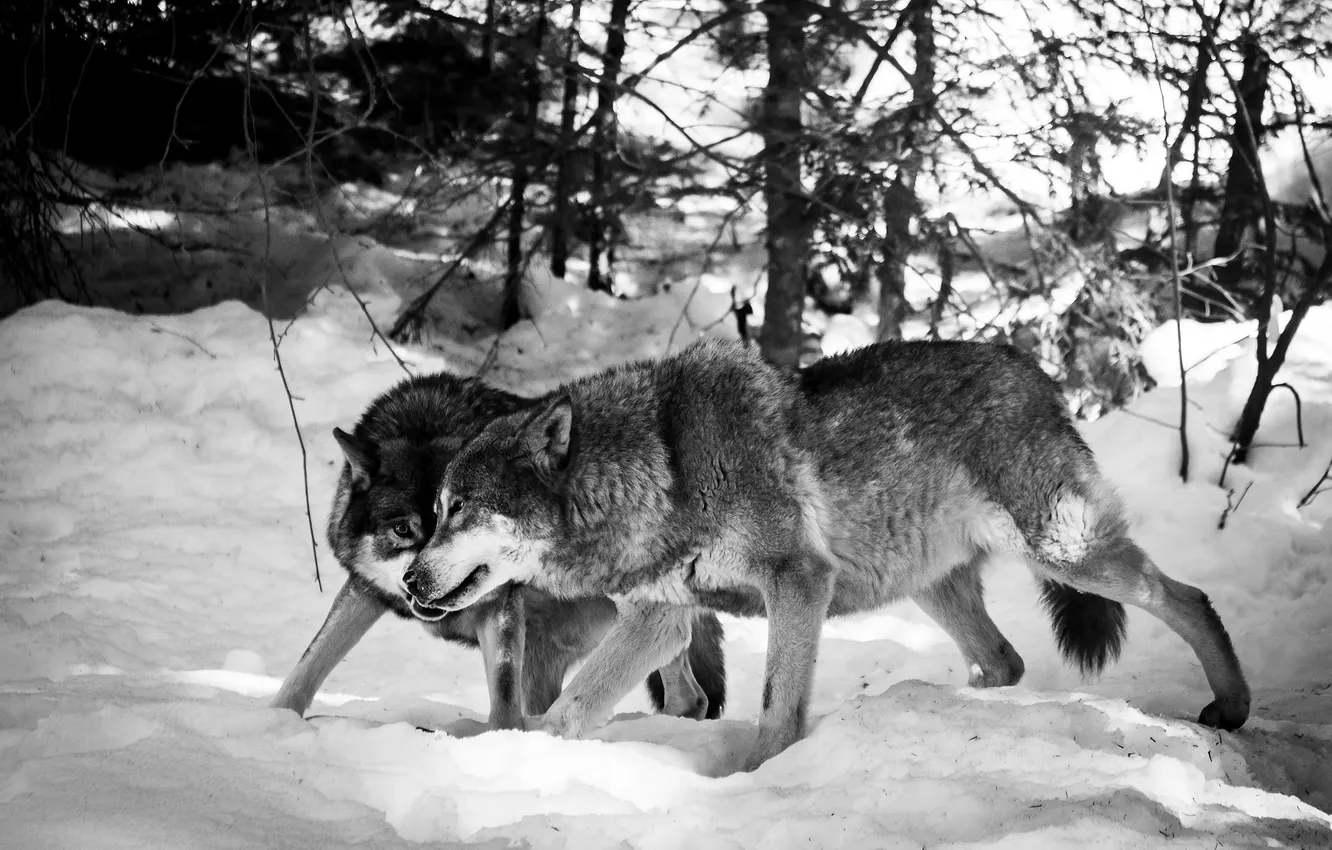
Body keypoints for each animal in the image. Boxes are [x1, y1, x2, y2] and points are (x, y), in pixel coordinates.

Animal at [270, 371, 726, 728]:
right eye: (403, 529)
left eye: (460, 517)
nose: (419, 581)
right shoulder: (365, 589)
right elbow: (309, 664)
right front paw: (275, 721)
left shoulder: (501, 606)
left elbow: (503, 702)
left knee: (688, 692)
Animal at [406, 338, 1250, 770]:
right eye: (434, 512)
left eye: (460, 509)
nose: (410, 578)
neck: (666, 461)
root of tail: (1035, 371)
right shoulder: (663, 618)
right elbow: (575, 708)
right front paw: (517, 762)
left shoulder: (798, 582)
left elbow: (777, 707)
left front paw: (757, 779)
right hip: (935, 586)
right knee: (1005, 660)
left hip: (1063, 552)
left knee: (1190, 598)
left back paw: (1233, 708)